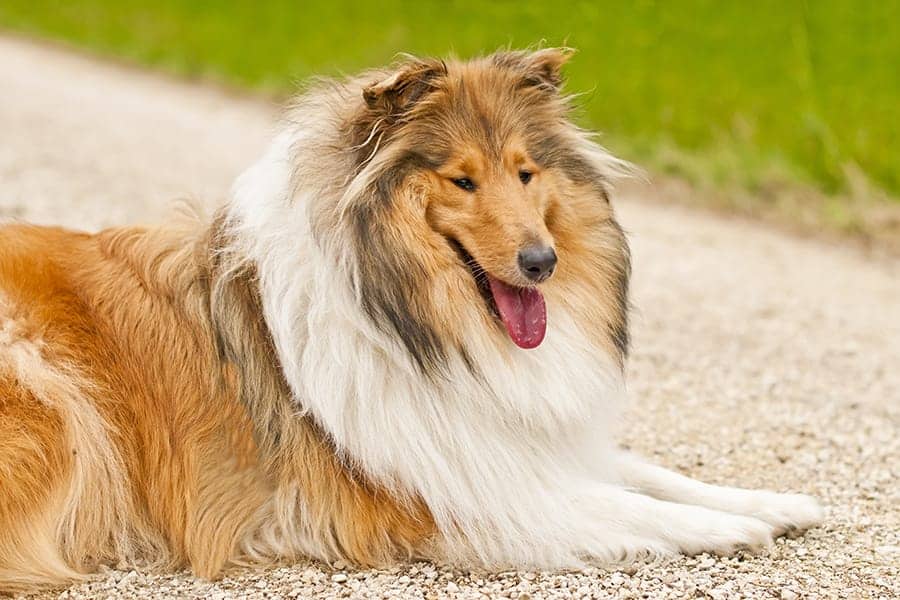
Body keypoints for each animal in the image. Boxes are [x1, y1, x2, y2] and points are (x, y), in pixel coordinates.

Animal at [0, 48, 824, 592]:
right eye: (462, 180)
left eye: (526, 172)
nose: (541, 262)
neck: (415, 317)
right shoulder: (460, 491)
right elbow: (623, 504)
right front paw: (734, 531)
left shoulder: (497, 439)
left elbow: (651, 474)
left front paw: (777, 503)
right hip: (54, 402)